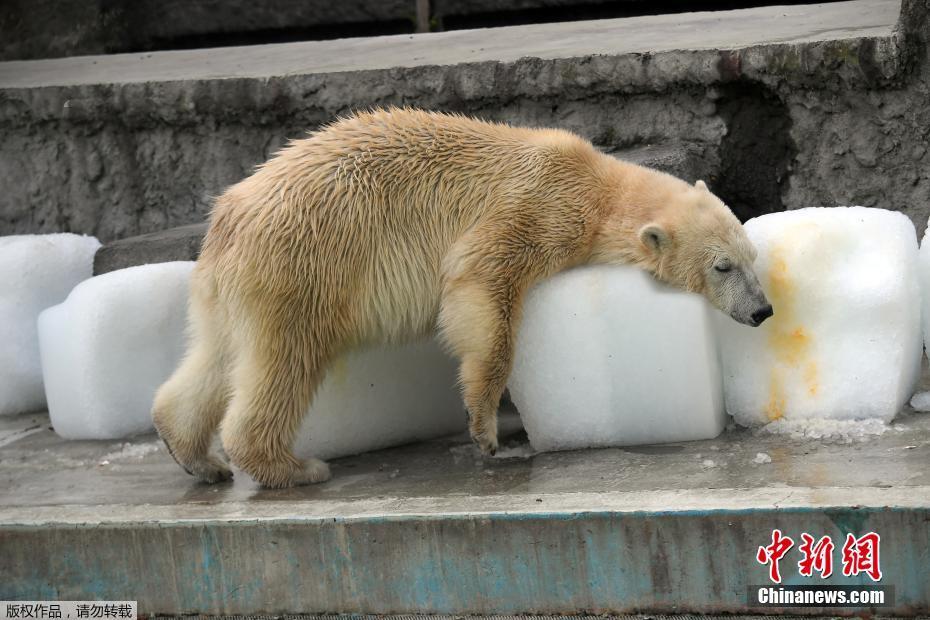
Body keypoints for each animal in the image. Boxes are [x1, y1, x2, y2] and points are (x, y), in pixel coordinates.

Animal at [152, 110, 768, 490]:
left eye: (752, 256)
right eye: (723, 266)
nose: (762, 311)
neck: (596, 186)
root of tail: (227, 219)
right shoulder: (537, 206)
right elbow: (480, 282)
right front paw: (486, 431)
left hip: (230, 288)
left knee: (217, 356)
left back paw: (194, 454)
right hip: (303, 267)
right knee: (286, 359)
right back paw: (295, 467)